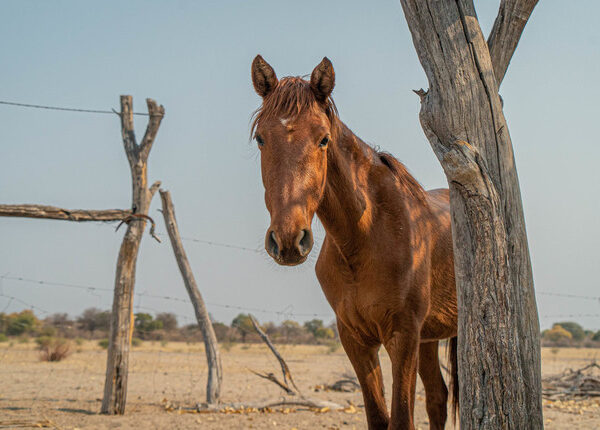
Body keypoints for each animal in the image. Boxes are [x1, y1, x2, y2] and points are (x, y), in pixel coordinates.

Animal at [251, 54, 458, 430]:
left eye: (323, 139)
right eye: (261, 138)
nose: (288, 239)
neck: (364, 238)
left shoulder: (402, 336)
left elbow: (401, 419)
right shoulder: (355, 339)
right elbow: (378, 417)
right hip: (429, 338)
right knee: (437, 397)